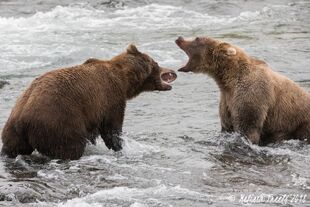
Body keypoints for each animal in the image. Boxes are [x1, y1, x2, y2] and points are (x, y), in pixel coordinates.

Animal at [1, 44, 177, 159]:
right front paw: (121, 148)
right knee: (69, 148)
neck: (125, 80)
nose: (172, 71)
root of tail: (22, 119)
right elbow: (112, 130)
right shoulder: (110, 99)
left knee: (12, 148)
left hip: (13, 131)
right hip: (59, 122)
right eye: (156, 63)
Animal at [176, 36, 310, 146]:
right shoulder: (227, 99)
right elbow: (227, 124)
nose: (179, 38)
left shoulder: (252, 94)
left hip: (299, 122)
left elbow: (248, 126)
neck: (229, 80)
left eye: (197, 38)